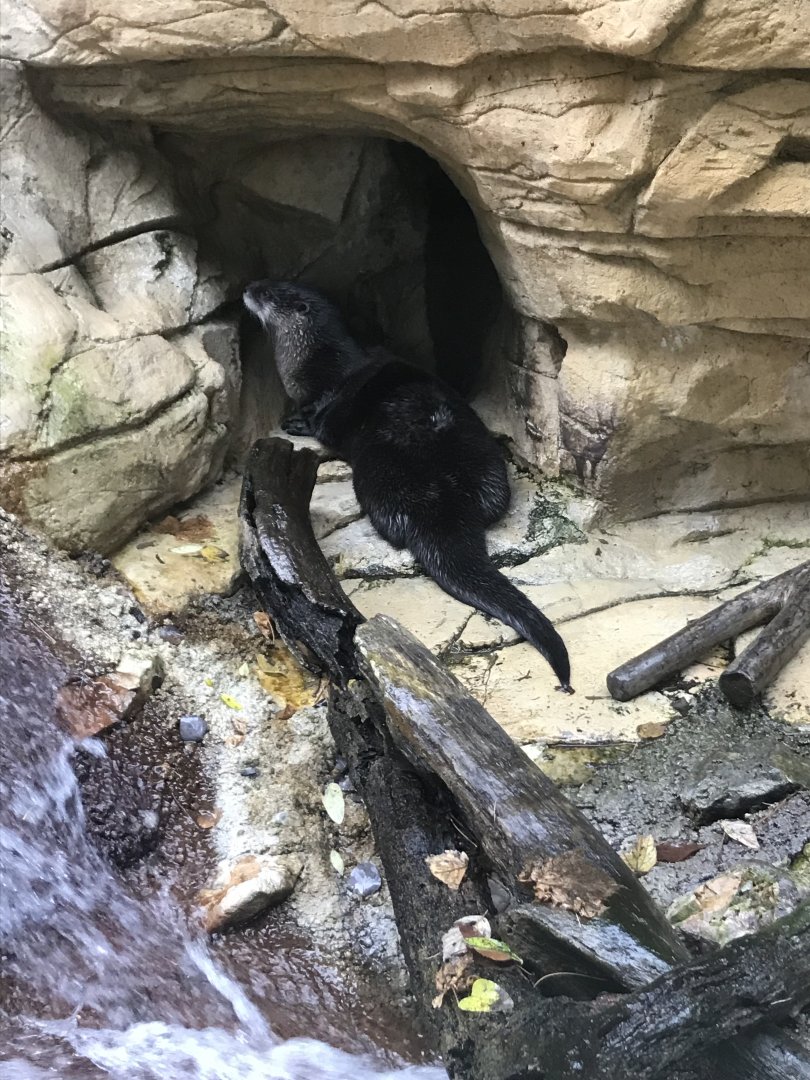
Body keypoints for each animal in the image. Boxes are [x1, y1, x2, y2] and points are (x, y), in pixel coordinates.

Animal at [243, 280, 573, 692]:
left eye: (270, 292)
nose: (248, 289)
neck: (317, 365)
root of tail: (444, 501)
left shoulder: (327, 401)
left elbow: (321, 423)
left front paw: (296, 423)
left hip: (381, 483)